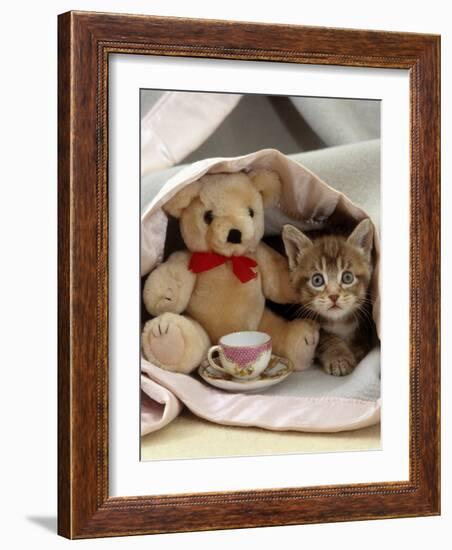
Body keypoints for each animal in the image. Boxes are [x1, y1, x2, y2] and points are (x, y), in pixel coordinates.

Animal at [284, 220, 376, 380]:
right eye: (317, 280)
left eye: (347, 277)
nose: (333, 296)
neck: (339, 322)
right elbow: (325, 338)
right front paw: (339, 358)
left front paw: (357, 349)